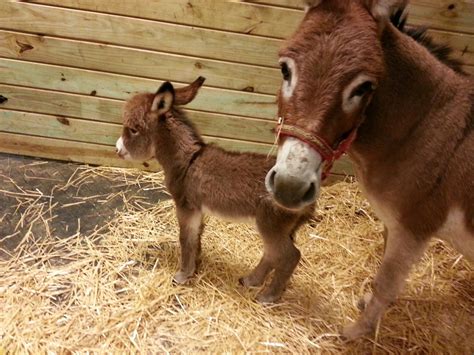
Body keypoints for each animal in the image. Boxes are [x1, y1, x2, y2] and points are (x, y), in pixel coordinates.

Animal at [115, 78, 314, 304]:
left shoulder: (186, 206)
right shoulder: (198, 209)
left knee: (289, 256)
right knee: (273, 254)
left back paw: (267, 297)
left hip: (271, 224)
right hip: (280, 227)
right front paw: (195, 265)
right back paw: (251, 281)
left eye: (133, 129)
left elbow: (186, 239)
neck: (187, 161)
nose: (117, 149)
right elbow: (196, 237)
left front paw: (183, 275)